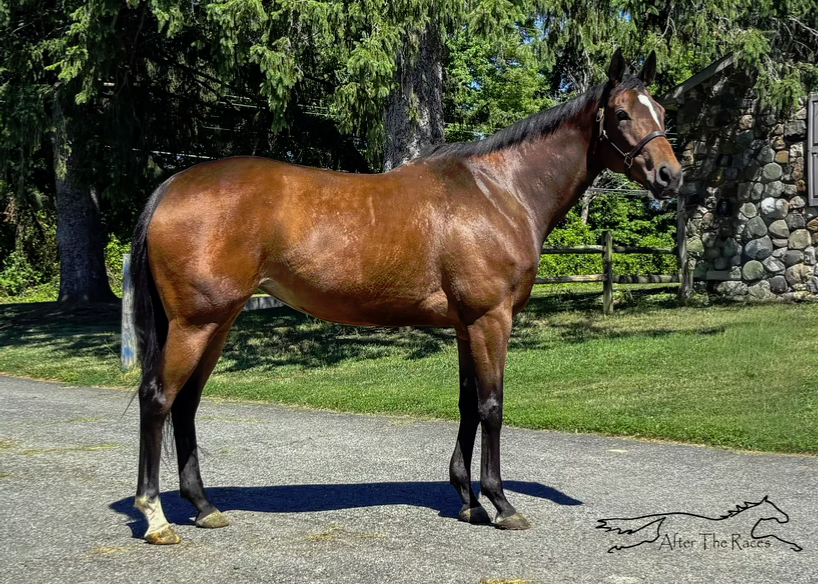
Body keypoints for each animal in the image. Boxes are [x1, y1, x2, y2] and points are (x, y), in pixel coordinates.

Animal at [130, 49, 682, 544]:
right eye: (622, 113)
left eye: (662, 111)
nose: (669, 176)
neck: (498, 191)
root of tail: (172, 186)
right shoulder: (491, 319)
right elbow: (492, 406)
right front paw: (501, 504)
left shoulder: (465, 324)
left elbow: (466, 404)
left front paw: (468, 502)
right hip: (196, 324)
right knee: (158, 399)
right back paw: (156, 518)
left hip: (217, 323)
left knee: (186, 404)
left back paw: (204, 507)